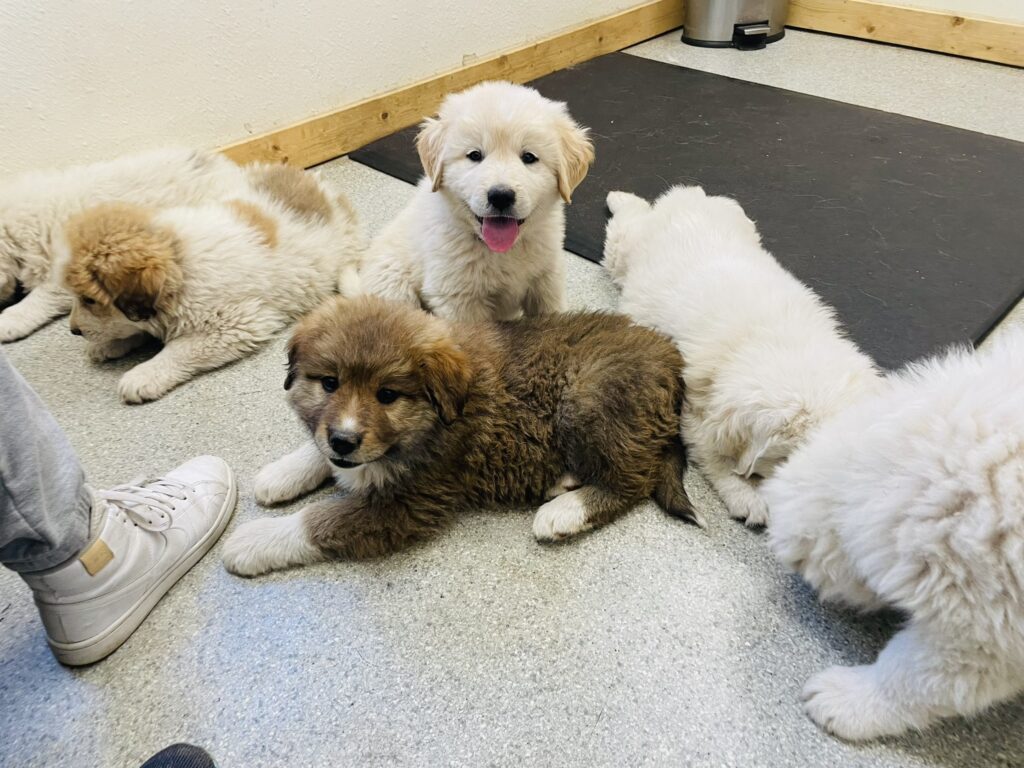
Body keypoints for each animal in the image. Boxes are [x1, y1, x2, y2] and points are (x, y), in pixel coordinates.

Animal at [222, 294, 704, 577]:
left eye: (387, 395)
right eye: (329, 383)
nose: (344, 440)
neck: (437, 418)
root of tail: (671, 356)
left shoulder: (406, 504)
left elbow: (320, 521)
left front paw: (252, 541)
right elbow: (320, 451)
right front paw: (283, 472)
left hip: (588, 401)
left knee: (631, 480)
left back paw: (563, 511)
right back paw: (563, 482)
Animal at [360, 81, 593, 325]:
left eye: (529, 157)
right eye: (474, 155)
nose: (501, 196)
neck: (503, 251)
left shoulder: (547, 281)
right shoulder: (459, 299)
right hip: (393, 285)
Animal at [598, 183, 880, 528]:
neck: (778, 340)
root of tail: (684, 198)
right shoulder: (696, 413)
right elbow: (717, 458)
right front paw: (750, 498)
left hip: (736, 221)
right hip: (624, 251)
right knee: (626, 220)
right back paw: (618, 196)